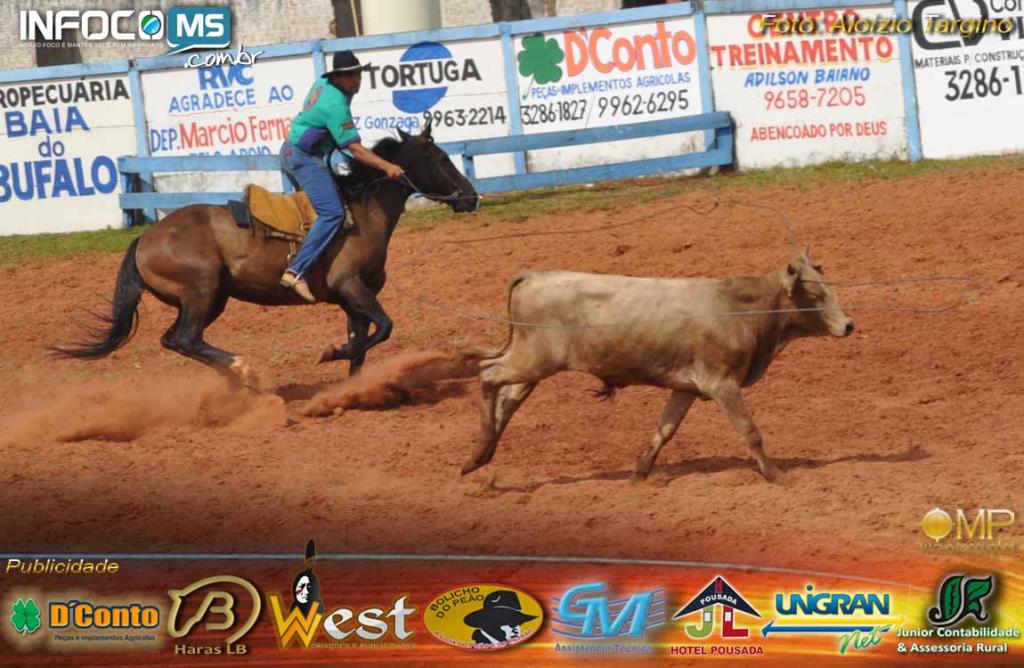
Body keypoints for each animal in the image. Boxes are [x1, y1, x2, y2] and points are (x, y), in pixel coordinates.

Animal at [56, 121, 480, 383]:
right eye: (440, 158)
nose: (471, 197)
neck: (362, 209)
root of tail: (144, 240)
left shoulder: (352, 298)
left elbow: (362, 342)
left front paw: (351, 390)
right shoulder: (351, 285)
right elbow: (384, 328)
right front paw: (330, 354)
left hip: (211, 299)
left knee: (174, 340)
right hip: (202, 291)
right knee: (186, 339)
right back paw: (245, 371)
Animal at [460, 249, 854, 482]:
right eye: (814, 293)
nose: (849, 325)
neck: (739, 308)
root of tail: (535, 274)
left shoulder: (686, 387)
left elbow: (665, 429)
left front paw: (641, 470)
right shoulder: (722, 383)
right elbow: (749, 430)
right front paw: (775, 474)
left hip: (532, 362)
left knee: (508, 396)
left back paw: (480, 455)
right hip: (533, 359)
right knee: (488, 374)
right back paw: (479, 452)